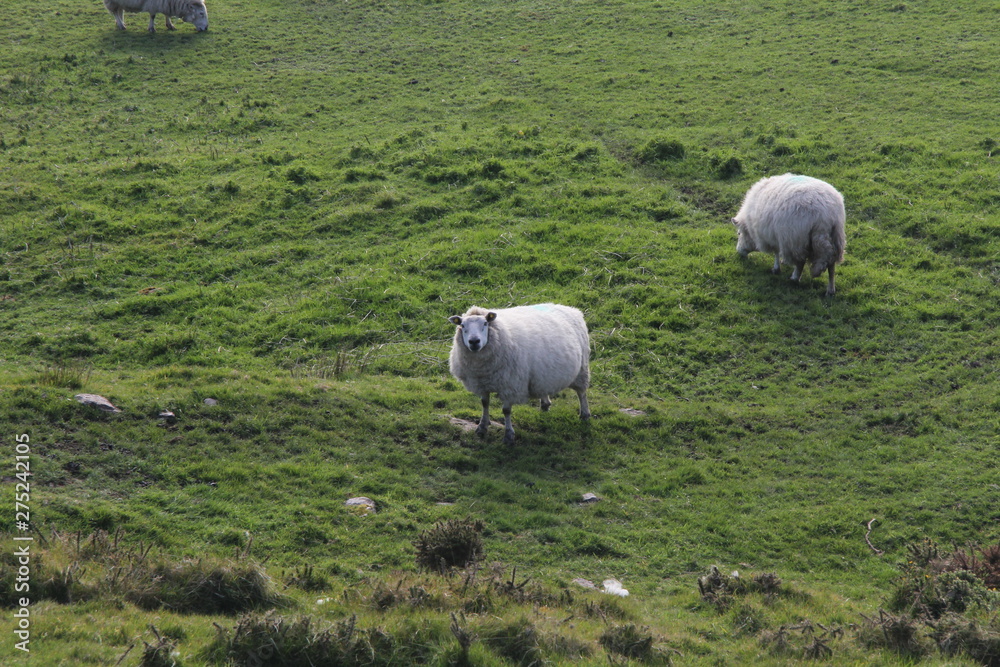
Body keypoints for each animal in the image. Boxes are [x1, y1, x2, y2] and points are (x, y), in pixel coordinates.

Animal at [448, 303, 591, 446]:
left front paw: (509, 435)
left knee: (582, 392)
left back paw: (585, 414)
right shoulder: (481, 382)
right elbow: (484, 403)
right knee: (544, 387)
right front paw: (482, 427)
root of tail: (571, 309)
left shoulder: (510, 384)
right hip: (543, 373)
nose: (474, 341)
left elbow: (506, 411)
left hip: (582, 368)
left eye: (485, 323)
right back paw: (545, 404)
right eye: (462, 325)